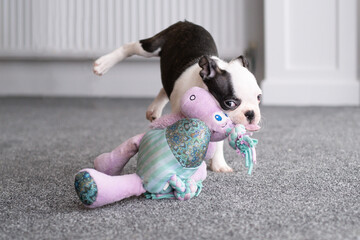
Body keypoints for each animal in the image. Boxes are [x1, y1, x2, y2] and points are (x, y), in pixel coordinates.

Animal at [93, 20, 262, 171]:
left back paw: (154, 109)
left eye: (259, 97)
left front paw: (220, 165)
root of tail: (186, 23)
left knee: (165, 87)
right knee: (132, 46)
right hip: (152, 46)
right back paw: (103, 64)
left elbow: (218, 144)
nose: (251, 114)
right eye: (230, 103)